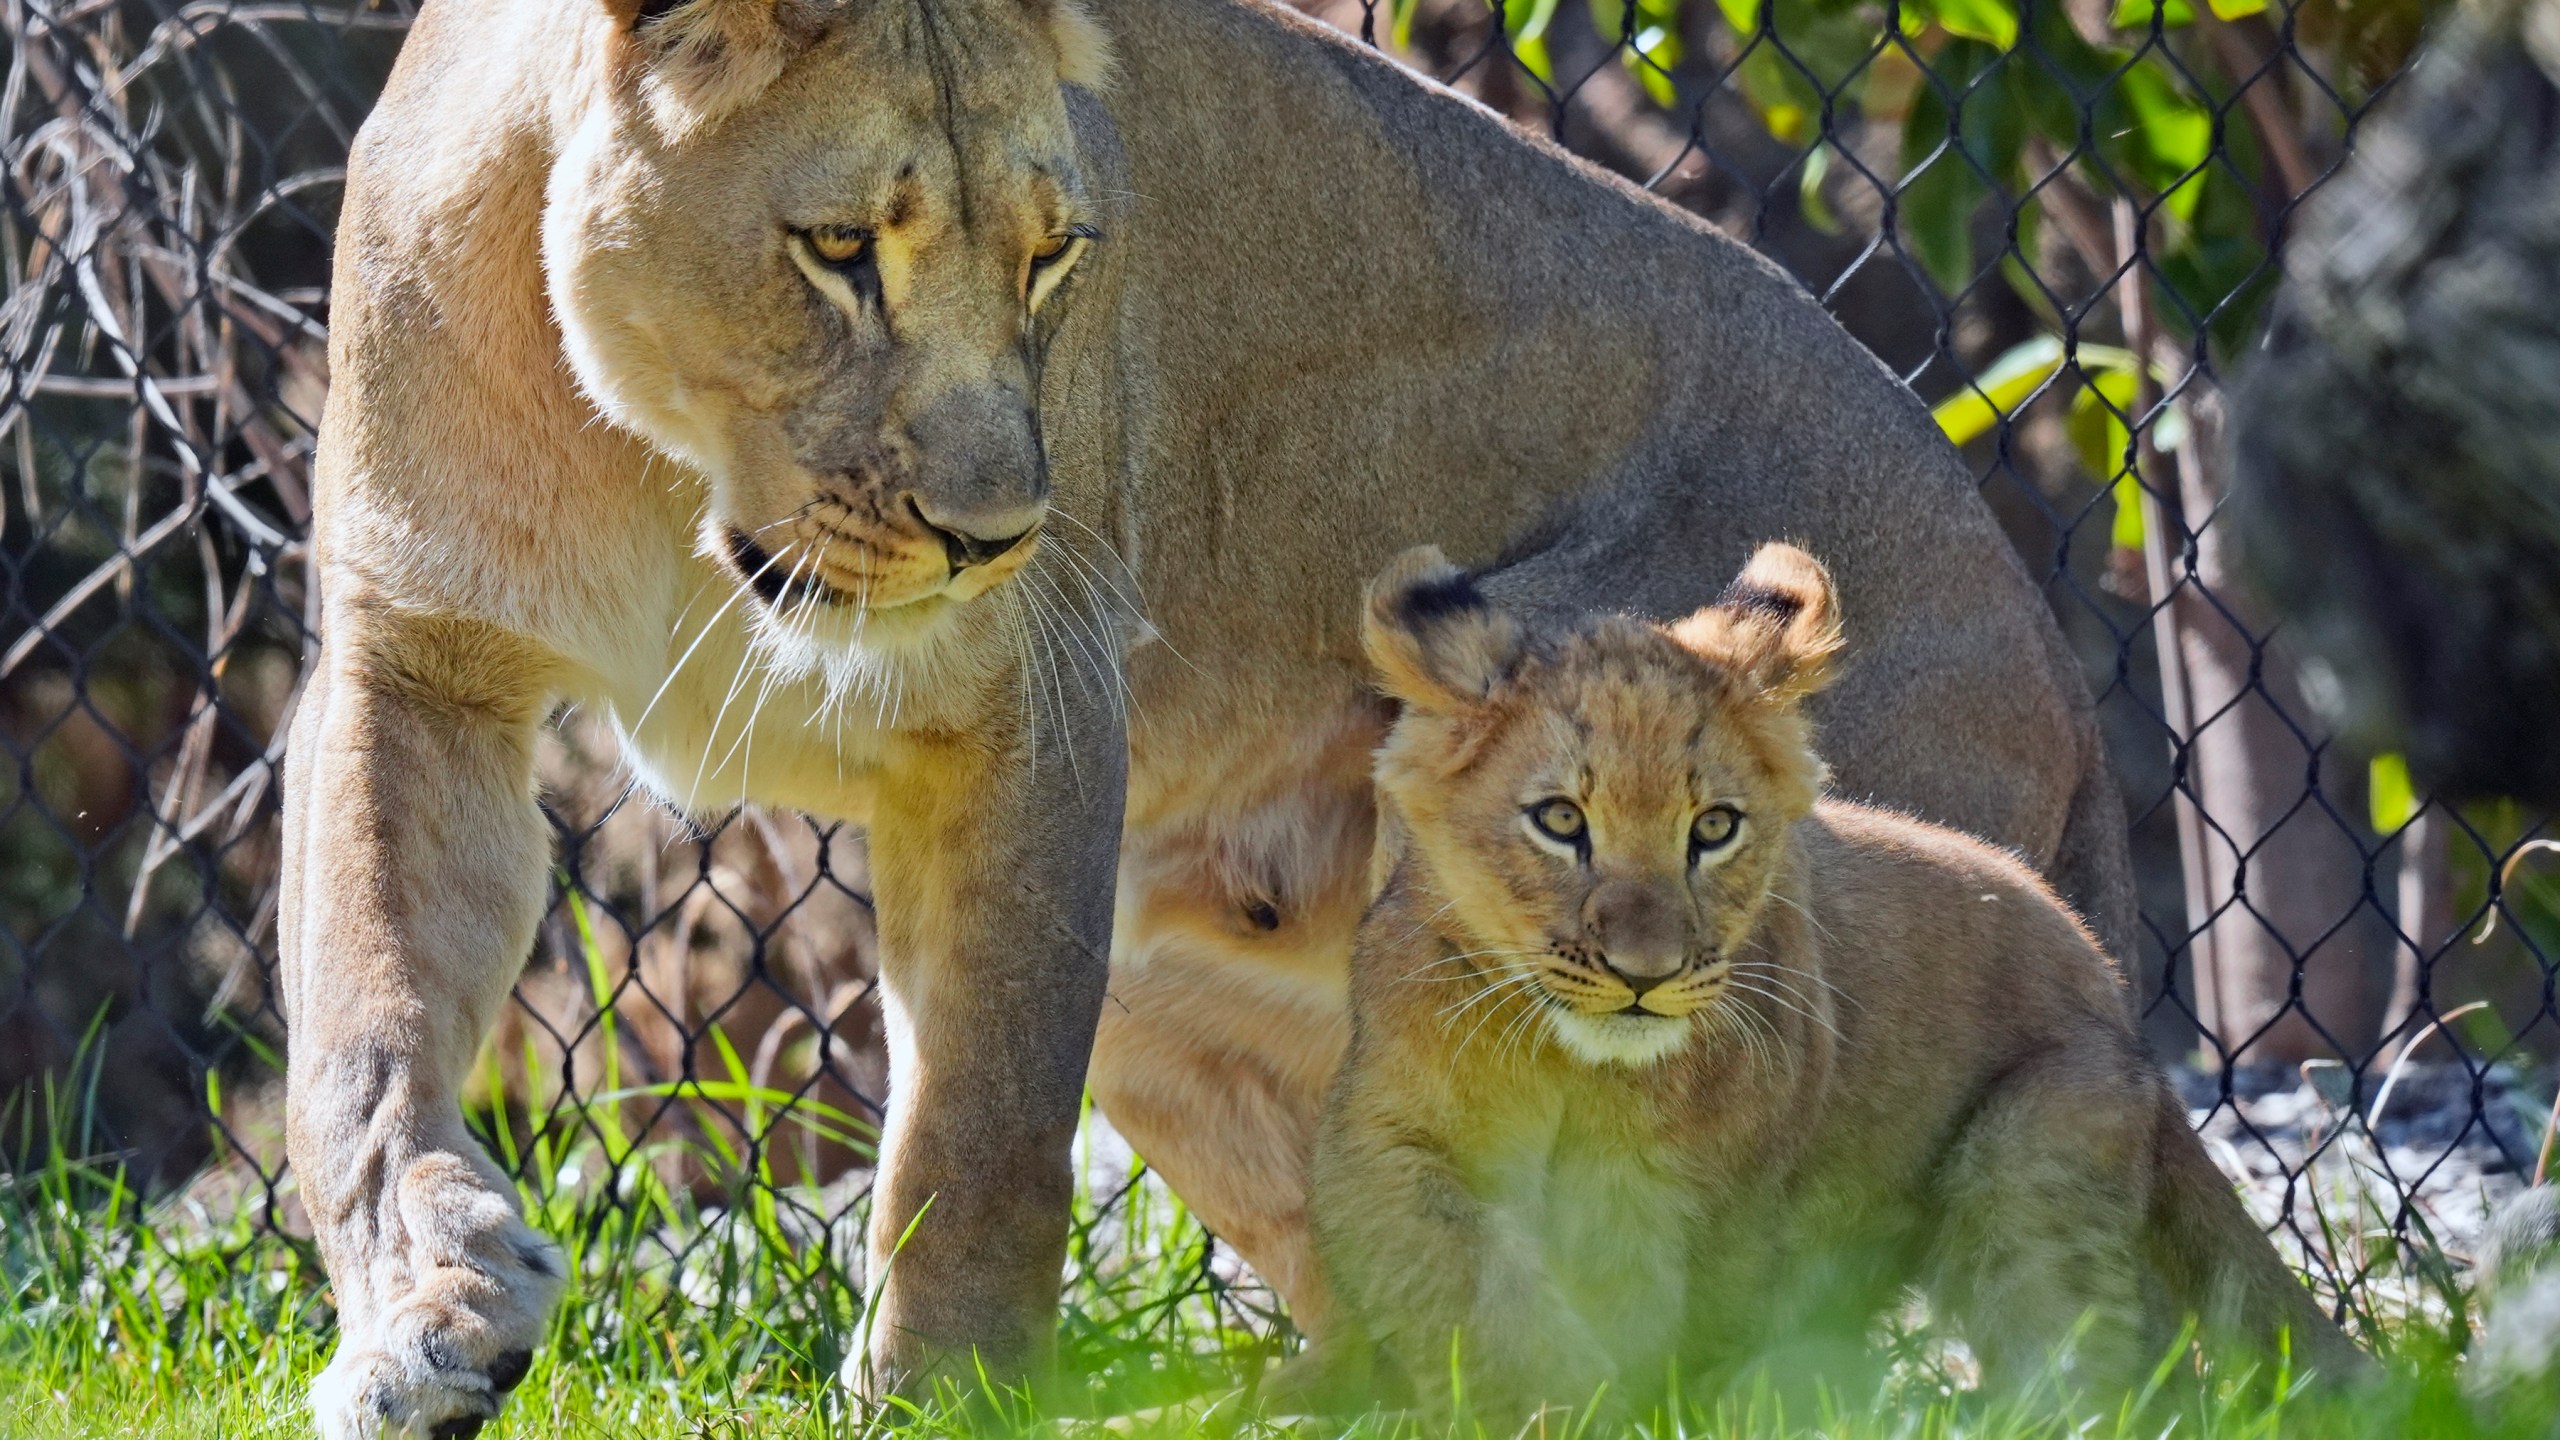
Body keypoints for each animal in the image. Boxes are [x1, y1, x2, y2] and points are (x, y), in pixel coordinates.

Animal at [284, 0, 2134, 1433]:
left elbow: (981, 1128)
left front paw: (945, 1402)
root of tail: (2060, 673)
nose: (993, 537)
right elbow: (361, 1033)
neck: (672, 470)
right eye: (839, 253)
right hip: (1188, 983)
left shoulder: (1035, 703)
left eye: (1055, 258)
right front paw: (428, 1316)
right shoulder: (414, 662)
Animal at [1306, 544, 2363, 1419]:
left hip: (2034, 1164)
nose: (1647, 977)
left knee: (2096, 1372)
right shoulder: (1388, 1143)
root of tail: (2110, 985)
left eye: (1714, 828)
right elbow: (1469, 1289)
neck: (1579, 1069)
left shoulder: (1692, 1196)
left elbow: (1651, 1324)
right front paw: (1539, 1401)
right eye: (1561, 821)